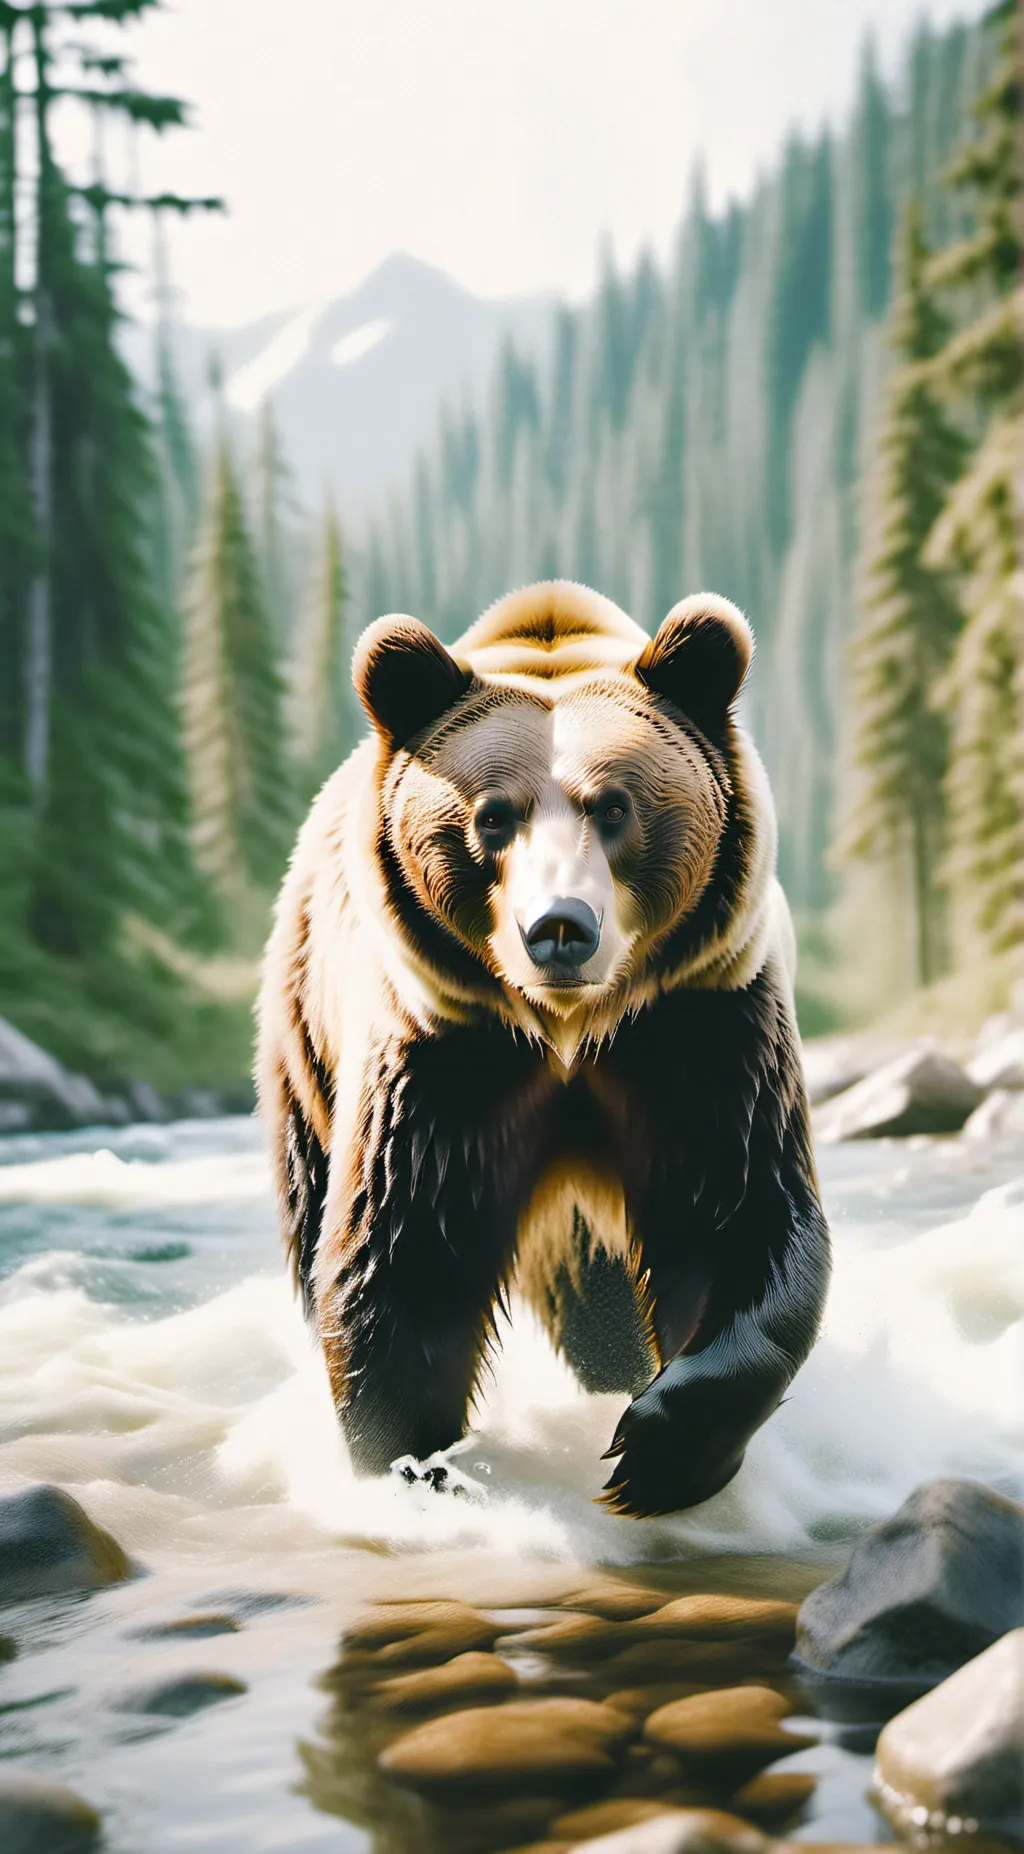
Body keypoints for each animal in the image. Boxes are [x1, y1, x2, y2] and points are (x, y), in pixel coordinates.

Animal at [256, 580, 830, 1518]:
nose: (560, 927)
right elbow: (404, 1251)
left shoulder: (702, 1022)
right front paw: (420, 1466)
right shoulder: (443, 1051)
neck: (570, 1034)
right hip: (308, 1037)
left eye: (615, 805)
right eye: (491, 815)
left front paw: (654, 1450)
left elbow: (739, 1214)